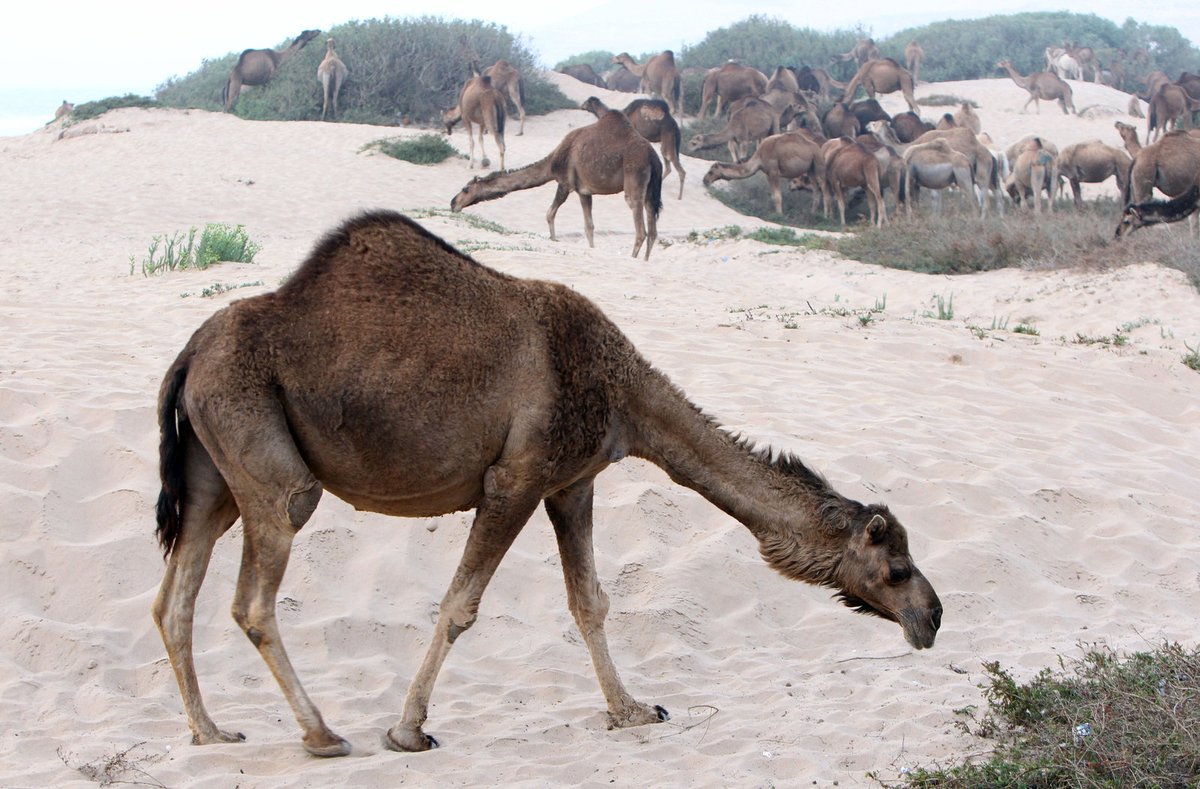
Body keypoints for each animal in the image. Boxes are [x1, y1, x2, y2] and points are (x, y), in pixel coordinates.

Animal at [150, 211, 940, 757]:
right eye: (896, 566)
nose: (931, 617)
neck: (623, 392)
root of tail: (188, 355)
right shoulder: (517, 477)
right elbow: (460, 605)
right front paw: (408, 731)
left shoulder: (572, 483)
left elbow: (590, 601)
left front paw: (632, 710)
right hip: (262, 450)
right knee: (257, 588)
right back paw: (321, 735)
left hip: (212, 473)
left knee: (174, 598)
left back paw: (210, 732)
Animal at [451, 109, 667, 257]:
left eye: (465, 189)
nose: (453, 203)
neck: (553, 160)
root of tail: (654, 158)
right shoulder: (584, 191)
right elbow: (589, 227)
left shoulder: (564, 183)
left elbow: (549, 213)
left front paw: (554, 240)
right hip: (651, 189)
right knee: (652, 229)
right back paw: (645, 261)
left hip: (634, 177)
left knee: (640, 228)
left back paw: (633, 258)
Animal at [700, 130, 830, 213]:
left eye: (711, 171)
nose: (705, 180)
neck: (759, 157)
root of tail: (817, 147)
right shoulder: (768, 173)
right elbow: (773, 196)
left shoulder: (774, 171)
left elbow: (777, 196)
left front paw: (779, 215)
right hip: (811, 169)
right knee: (816, 191)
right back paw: (812, 213)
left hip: (818, 163)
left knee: (824, 189)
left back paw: (826, 216)